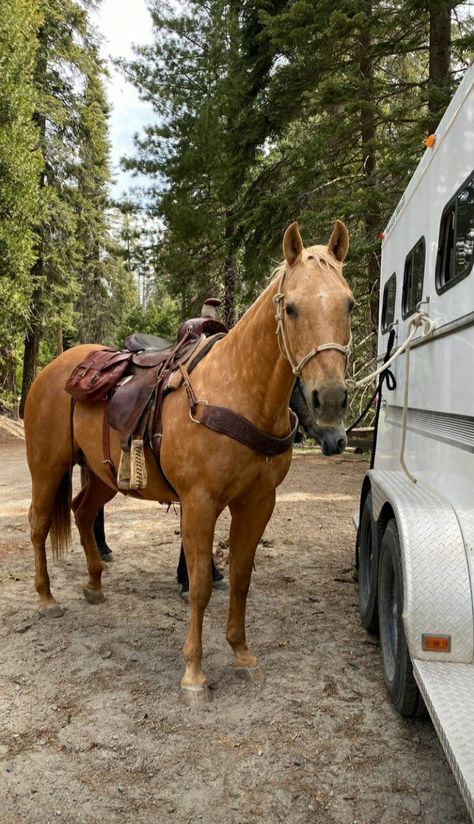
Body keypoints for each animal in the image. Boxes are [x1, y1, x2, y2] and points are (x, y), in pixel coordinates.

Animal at [24, 222, 354, 704]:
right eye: (291, 307)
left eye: (350, 303)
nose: (329, 401)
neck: (237, 392)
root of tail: (53, 369)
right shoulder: (200, 503)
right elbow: (198, 586)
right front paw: (194, 674)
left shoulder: (258, 503)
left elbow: (240, 577)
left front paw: (242, 654)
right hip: (46, 467)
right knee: (39, 524)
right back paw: (46, 598)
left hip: (104, 473)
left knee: (83, 512)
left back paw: (95, 585)